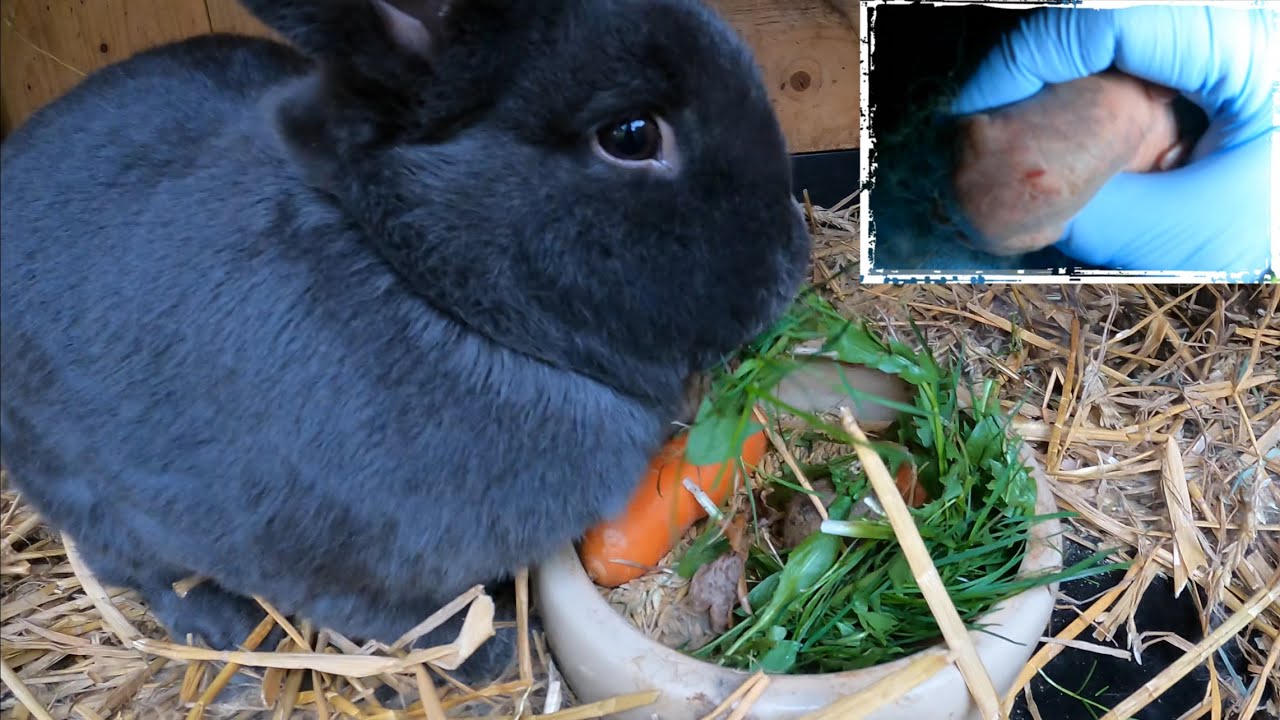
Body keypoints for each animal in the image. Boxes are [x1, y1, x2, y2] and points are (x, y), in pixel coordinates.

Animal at [0, 0, 811, 684]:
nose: (791, 262)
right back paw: (221, 628)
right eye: (632, 135)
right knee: (132, 564)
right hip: (82, 488)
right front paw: (491, 657)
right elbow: (414, 621)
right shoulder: (347, 572)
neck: (426, 287)